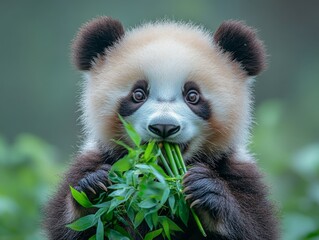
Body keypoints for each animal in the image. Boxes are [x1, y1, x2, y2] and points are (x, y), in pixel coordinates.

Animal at [45, 17, 280, 240]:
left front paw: (205, 188)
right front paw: (95, 187)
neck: (159, 180)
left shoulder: (237, 170)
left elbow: (257, 226)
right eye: (138, 94)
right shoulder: (94, 158)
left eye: (192, 95)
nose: (164, 126)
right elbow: (68, 225)